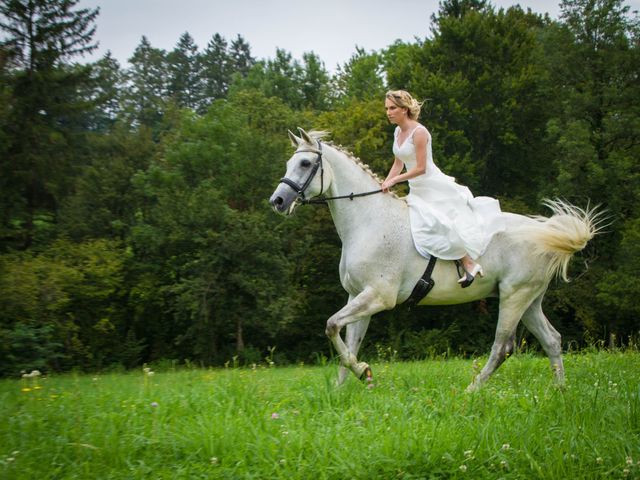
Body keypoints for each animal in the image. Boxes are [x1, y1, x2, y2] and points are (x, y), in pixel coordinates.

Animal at [268, 129, 600, 392]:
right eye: (288, 163)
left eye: (305, 163)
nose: (278, 202)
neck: (369, 221)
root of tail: (541, 230)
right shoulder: (357, 296)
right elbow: (346, 342)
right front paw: (346, 387)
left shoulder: (378, 297)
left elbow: (331, 325)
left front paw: (363, 372)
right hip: (529, 300)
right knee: (552, 340)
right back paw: (560, 391)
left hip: (514, 296)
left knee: (502, 347)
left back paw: (471, 391)